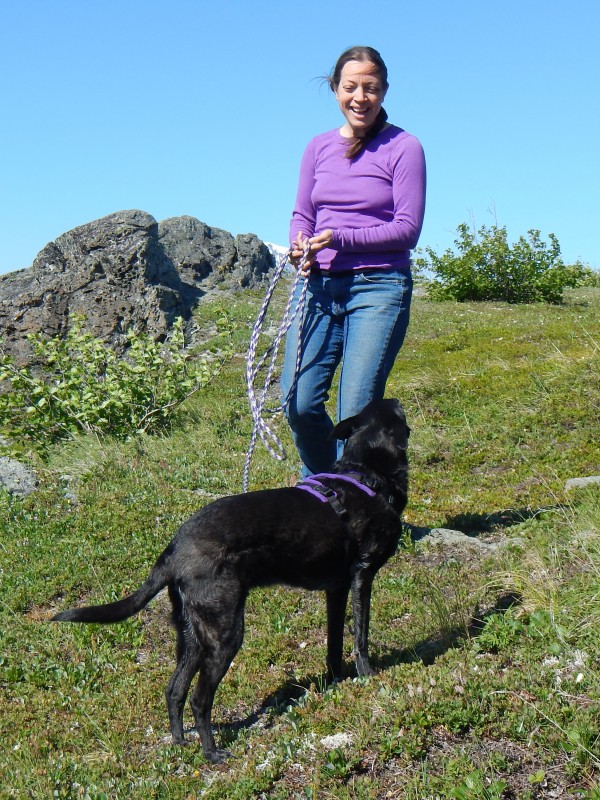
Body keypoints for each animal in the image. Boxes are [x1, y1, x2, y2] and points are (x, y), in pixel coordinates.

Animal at [52, 398, 408, 764]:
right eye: (395, 410)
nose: (395, 399)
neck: (365, 473)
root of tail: (173, 552)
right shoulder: (362, 575)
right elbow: (361, 635)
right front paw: (368, 676)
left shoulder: (335, 589)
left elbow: (334, 643)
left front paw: (336, 680)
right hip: (225, 633)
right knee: (199, 698)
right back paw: (212, 752)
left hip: (192, 635)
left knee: (174, 690)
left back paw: (180, 741)